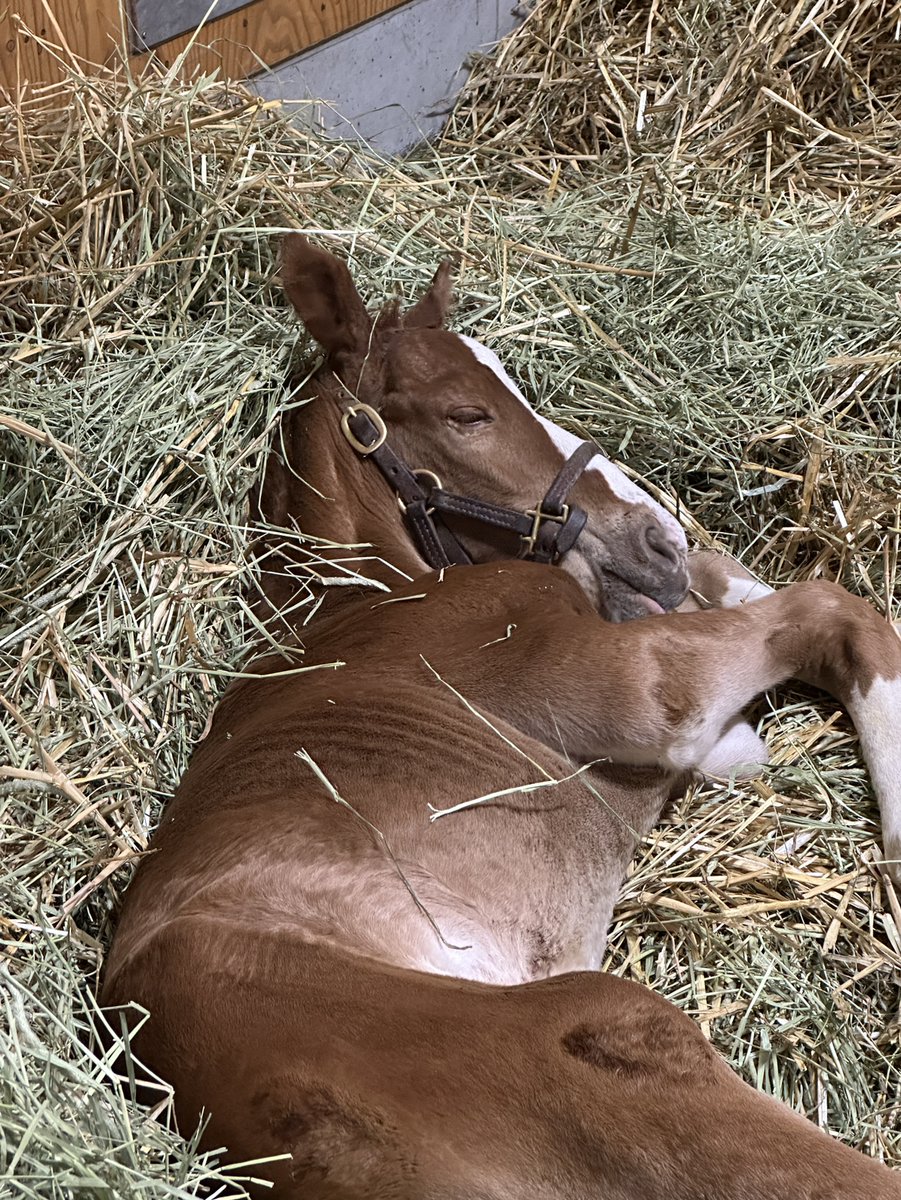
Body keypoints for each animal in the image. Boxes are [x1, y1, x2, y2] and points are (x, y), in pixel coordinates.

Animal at [101, 234, 901, 1198]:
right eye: (464, 415)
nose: (657, 541)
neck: (363, 599)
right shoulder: (636, 685)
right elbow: (834, 611)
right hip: (593, 1033)